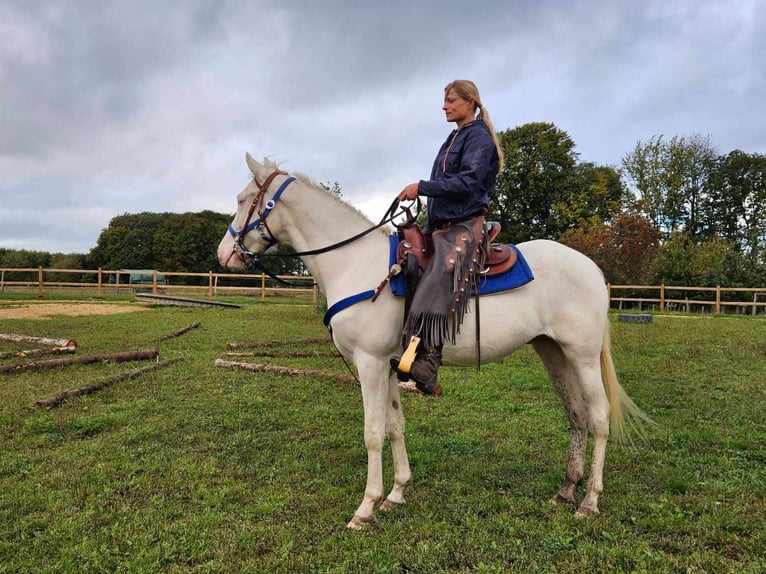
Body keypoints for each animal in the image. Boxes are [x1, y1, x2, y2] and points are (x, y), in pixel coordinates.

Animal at [218, 153, 656, 532]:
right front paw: (396, 493)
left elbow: (373, 433)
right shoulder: (389, 366)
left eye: (241, 199)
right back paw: (566, 491)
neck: (356, 263)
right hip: (553, 352)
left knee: (599, 417)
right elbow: (395, 427)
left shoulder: (370, 363)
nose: (225, 254)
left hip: (582, 356)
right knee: (577, 415)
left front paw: (365, 508)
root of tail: (592, 269)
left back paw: (589, 501)